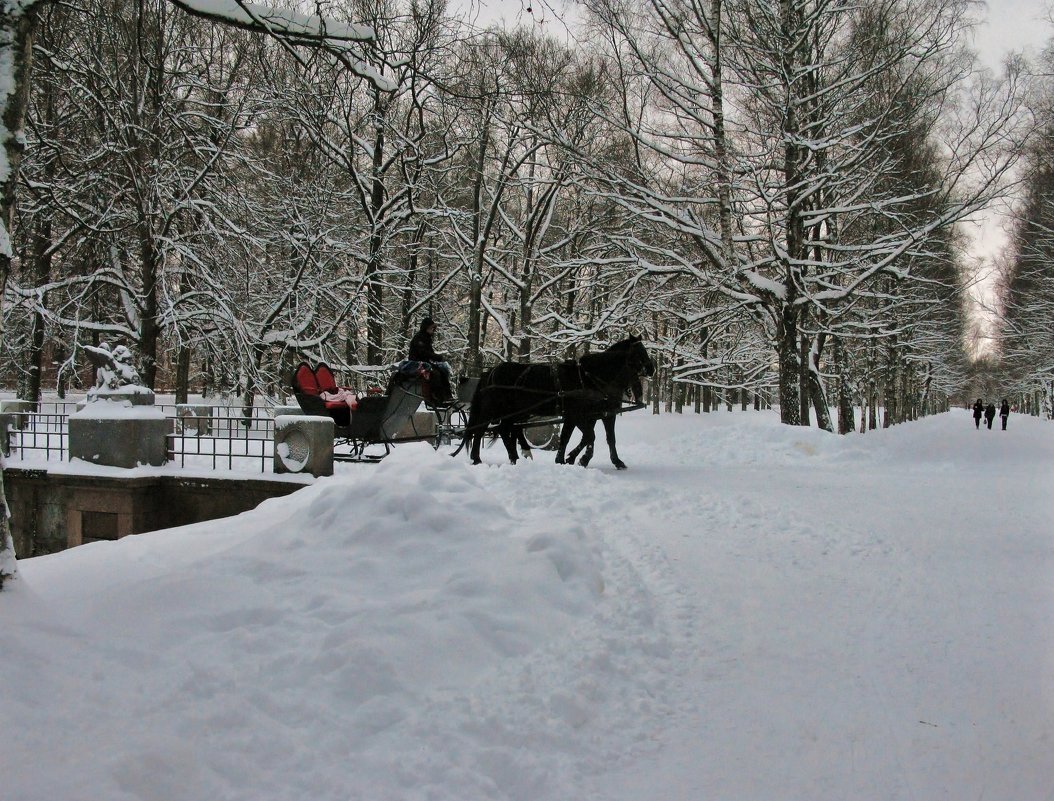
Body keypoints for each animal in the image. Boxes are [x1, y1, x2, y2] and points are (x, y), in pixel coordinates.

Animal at [459, 335, 649, 465]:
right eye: (640, 352)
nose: (651, 369)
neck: (587, 377)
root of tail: (490, 372)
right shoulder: (579, 414)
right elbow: (588, 436)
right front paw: (578, 459)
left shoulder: (591, 415)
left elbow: (576, 437)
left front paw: (566, 459)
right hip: (494, 409)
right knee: (482, 429)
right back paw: (478, 458)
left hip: (513, 412)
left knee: (506, 429)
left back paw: (516, 457)